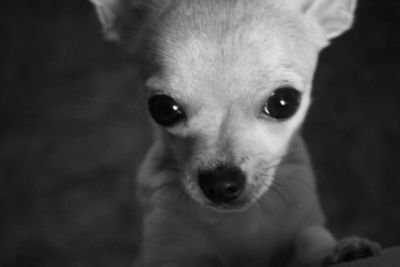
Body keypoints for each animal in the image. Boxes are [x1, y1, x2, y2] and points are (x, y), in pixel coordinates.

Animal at [89, 1, 380, 266]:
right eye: (163, 108)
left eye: (283, 102)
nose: (220, 183)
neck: (240, 221)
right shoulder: (166, 249)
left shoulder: (303, 225)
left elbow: (310, 236)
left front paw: (339, 249)